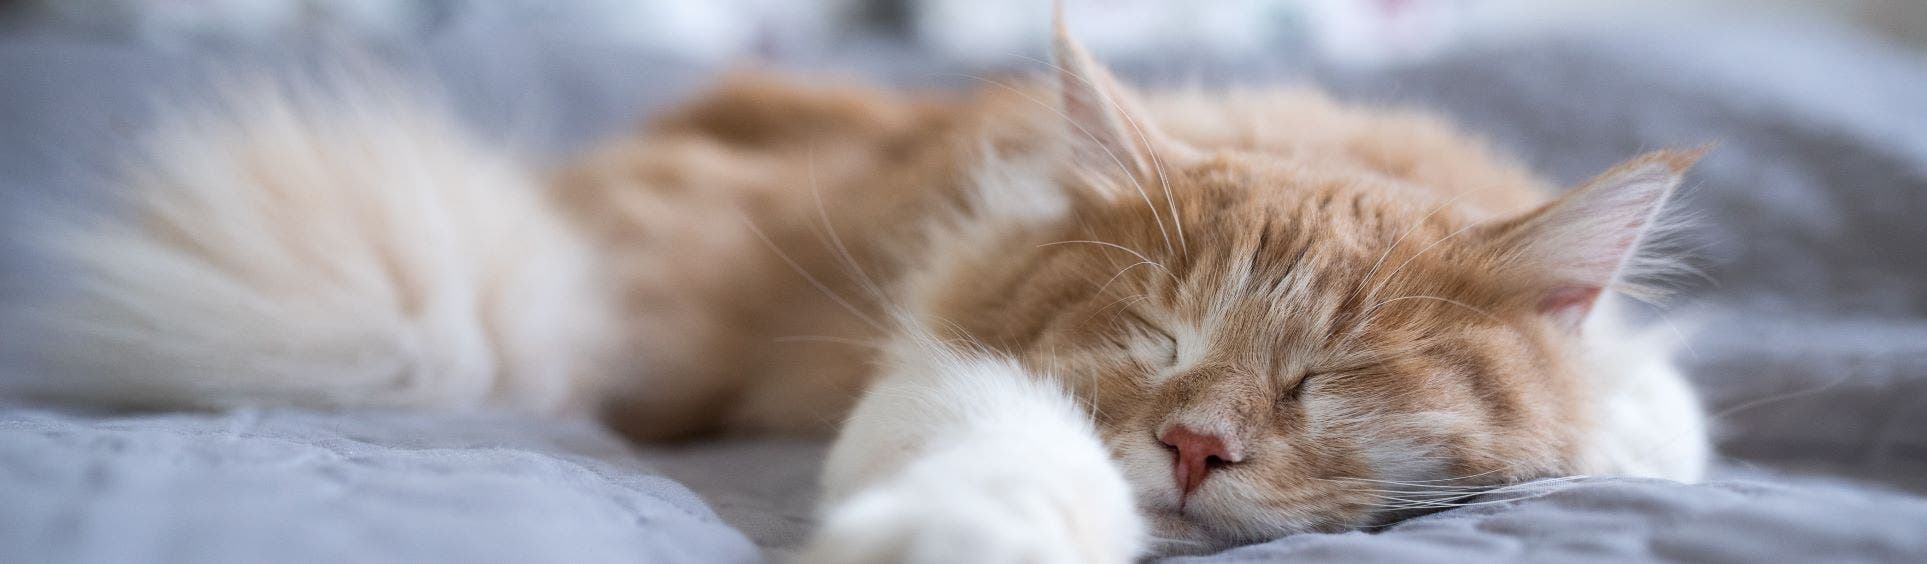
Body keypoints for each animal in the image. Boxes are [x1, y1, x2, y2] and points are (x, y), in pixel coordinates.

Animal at [7, 15, 1711, 558]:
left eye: (1324, 383)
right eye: (1151, 337)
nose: (1191, 447)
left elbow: (1641, 431)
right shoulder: (950, 362)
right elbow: (999, 463)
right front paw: (972, 538)